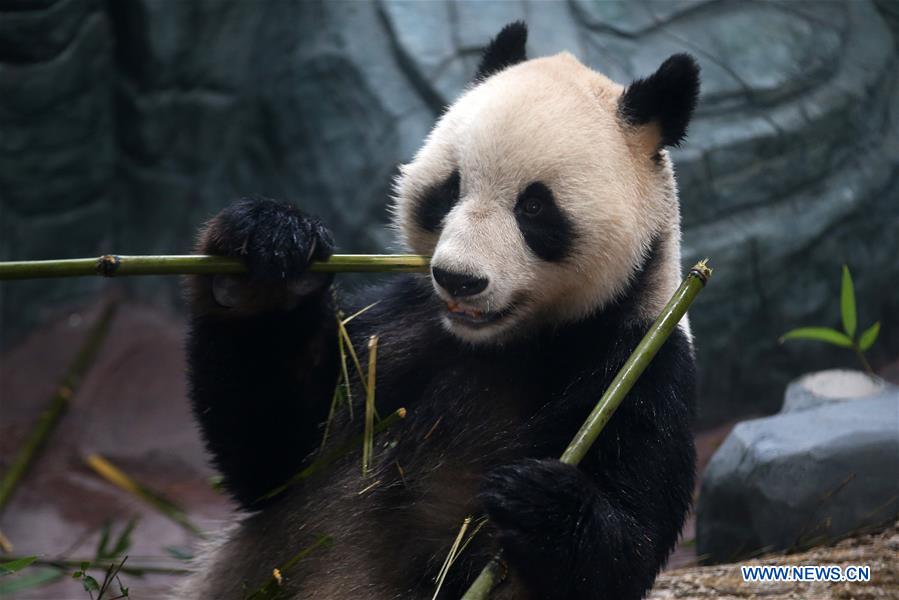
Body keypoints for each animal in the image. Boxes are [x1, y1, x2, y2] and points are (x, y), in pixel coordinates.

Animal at [179, 21, 704, 596]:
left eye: (534, 207)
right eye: (449, 189)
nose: (459, 279)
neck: (500, 345)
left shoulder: (638, 363)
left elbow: (625, 549)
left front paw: (538, 499)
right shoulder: (393, 330)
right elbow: (276, 458)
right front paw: (269, 250)